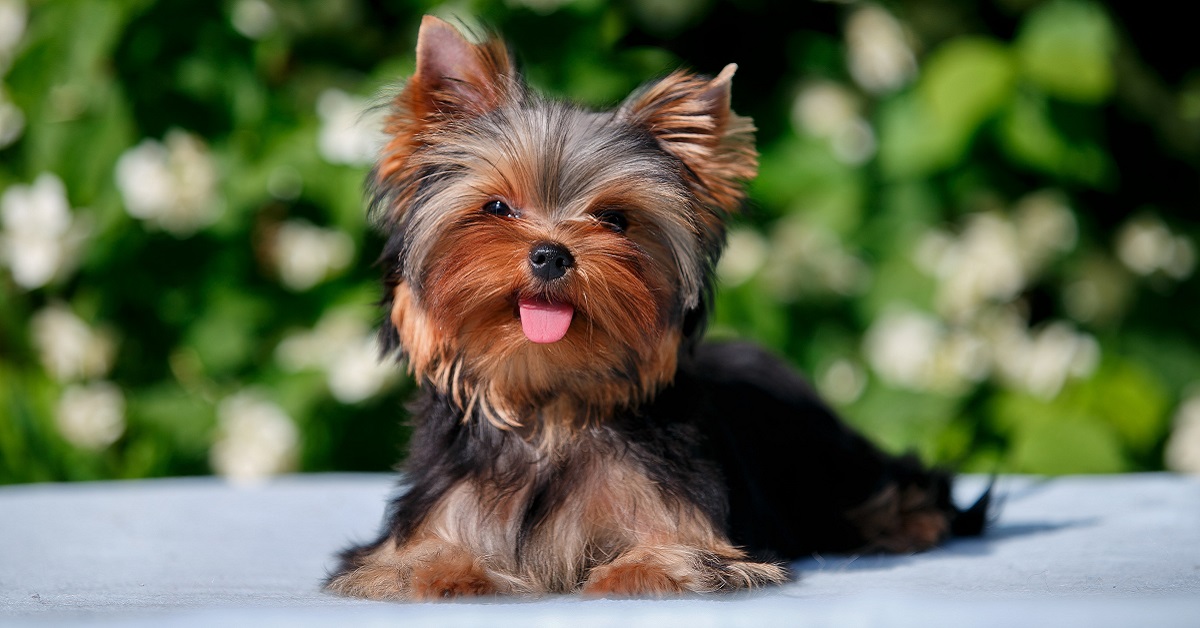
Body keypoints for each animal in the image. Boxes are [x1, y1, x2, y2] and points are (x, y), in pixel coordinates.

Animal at [326, 14, 984, 602]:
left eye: (615, 219)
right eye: (496, 208)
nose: (551, 254)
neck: (549, 406)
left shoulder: (691, 525)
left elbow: (677, 557)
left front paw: (632, 572)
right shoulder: (430, 516)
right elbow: (410, 562)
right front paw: (446, 573)